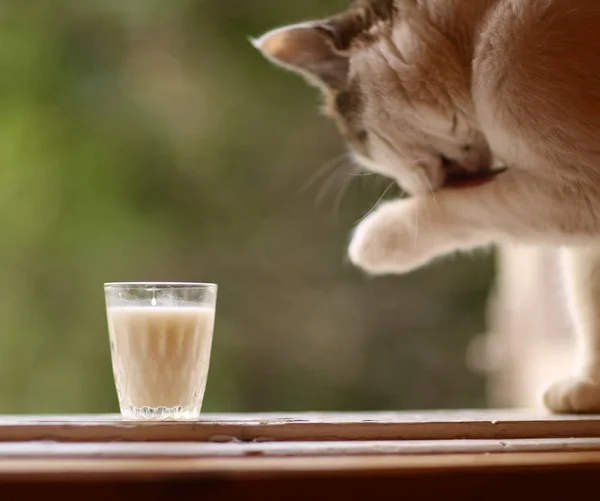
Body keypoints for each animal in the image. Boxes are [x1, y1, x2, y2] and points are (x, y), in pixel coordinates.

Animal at [254, 0, 600, 414]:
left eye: (365, 147)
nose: (407, 185)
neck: (478, 34)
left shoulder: (576, 190)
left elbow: (458, 207)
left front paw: (371, 243)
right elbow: (591, 303)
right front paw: (587, 389)